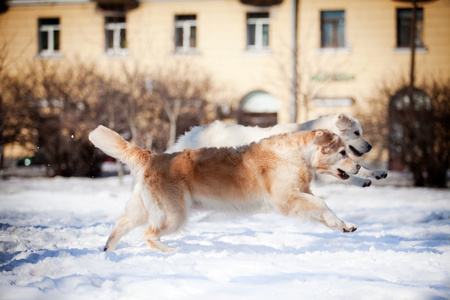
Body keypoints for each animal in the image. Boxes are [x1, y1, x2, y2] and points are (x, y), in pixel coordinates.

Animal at [89, 125, 360, 252]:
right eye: (342, 152)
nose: (358, 166)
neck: (296, 154)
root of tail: (153, 156)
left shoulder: (301, 195)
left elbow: (323, 211)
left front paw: (344, 225)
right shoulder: (287, 198)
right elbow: (322, 204)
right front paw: (340, 223)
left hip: (145, 209)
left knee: (121, 224)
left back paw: (108, 251)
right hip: (173, 215)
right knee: (148, 234)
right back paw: (170, 251)